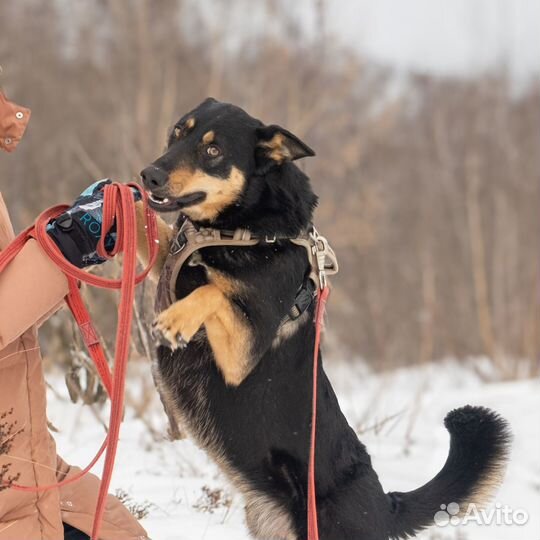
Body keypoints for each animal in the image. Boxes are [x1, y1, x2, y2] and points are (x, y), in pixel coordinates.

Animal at [135, 98, 510, 540]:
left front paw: (176, 320)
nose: (149, 175)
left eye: (213, 150)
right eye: (177, 133)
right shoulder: (170, 258)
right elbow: (154, 233)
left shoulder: (242, 351)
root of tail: (386, 505)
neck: (246, 229)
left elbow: (214, 291)